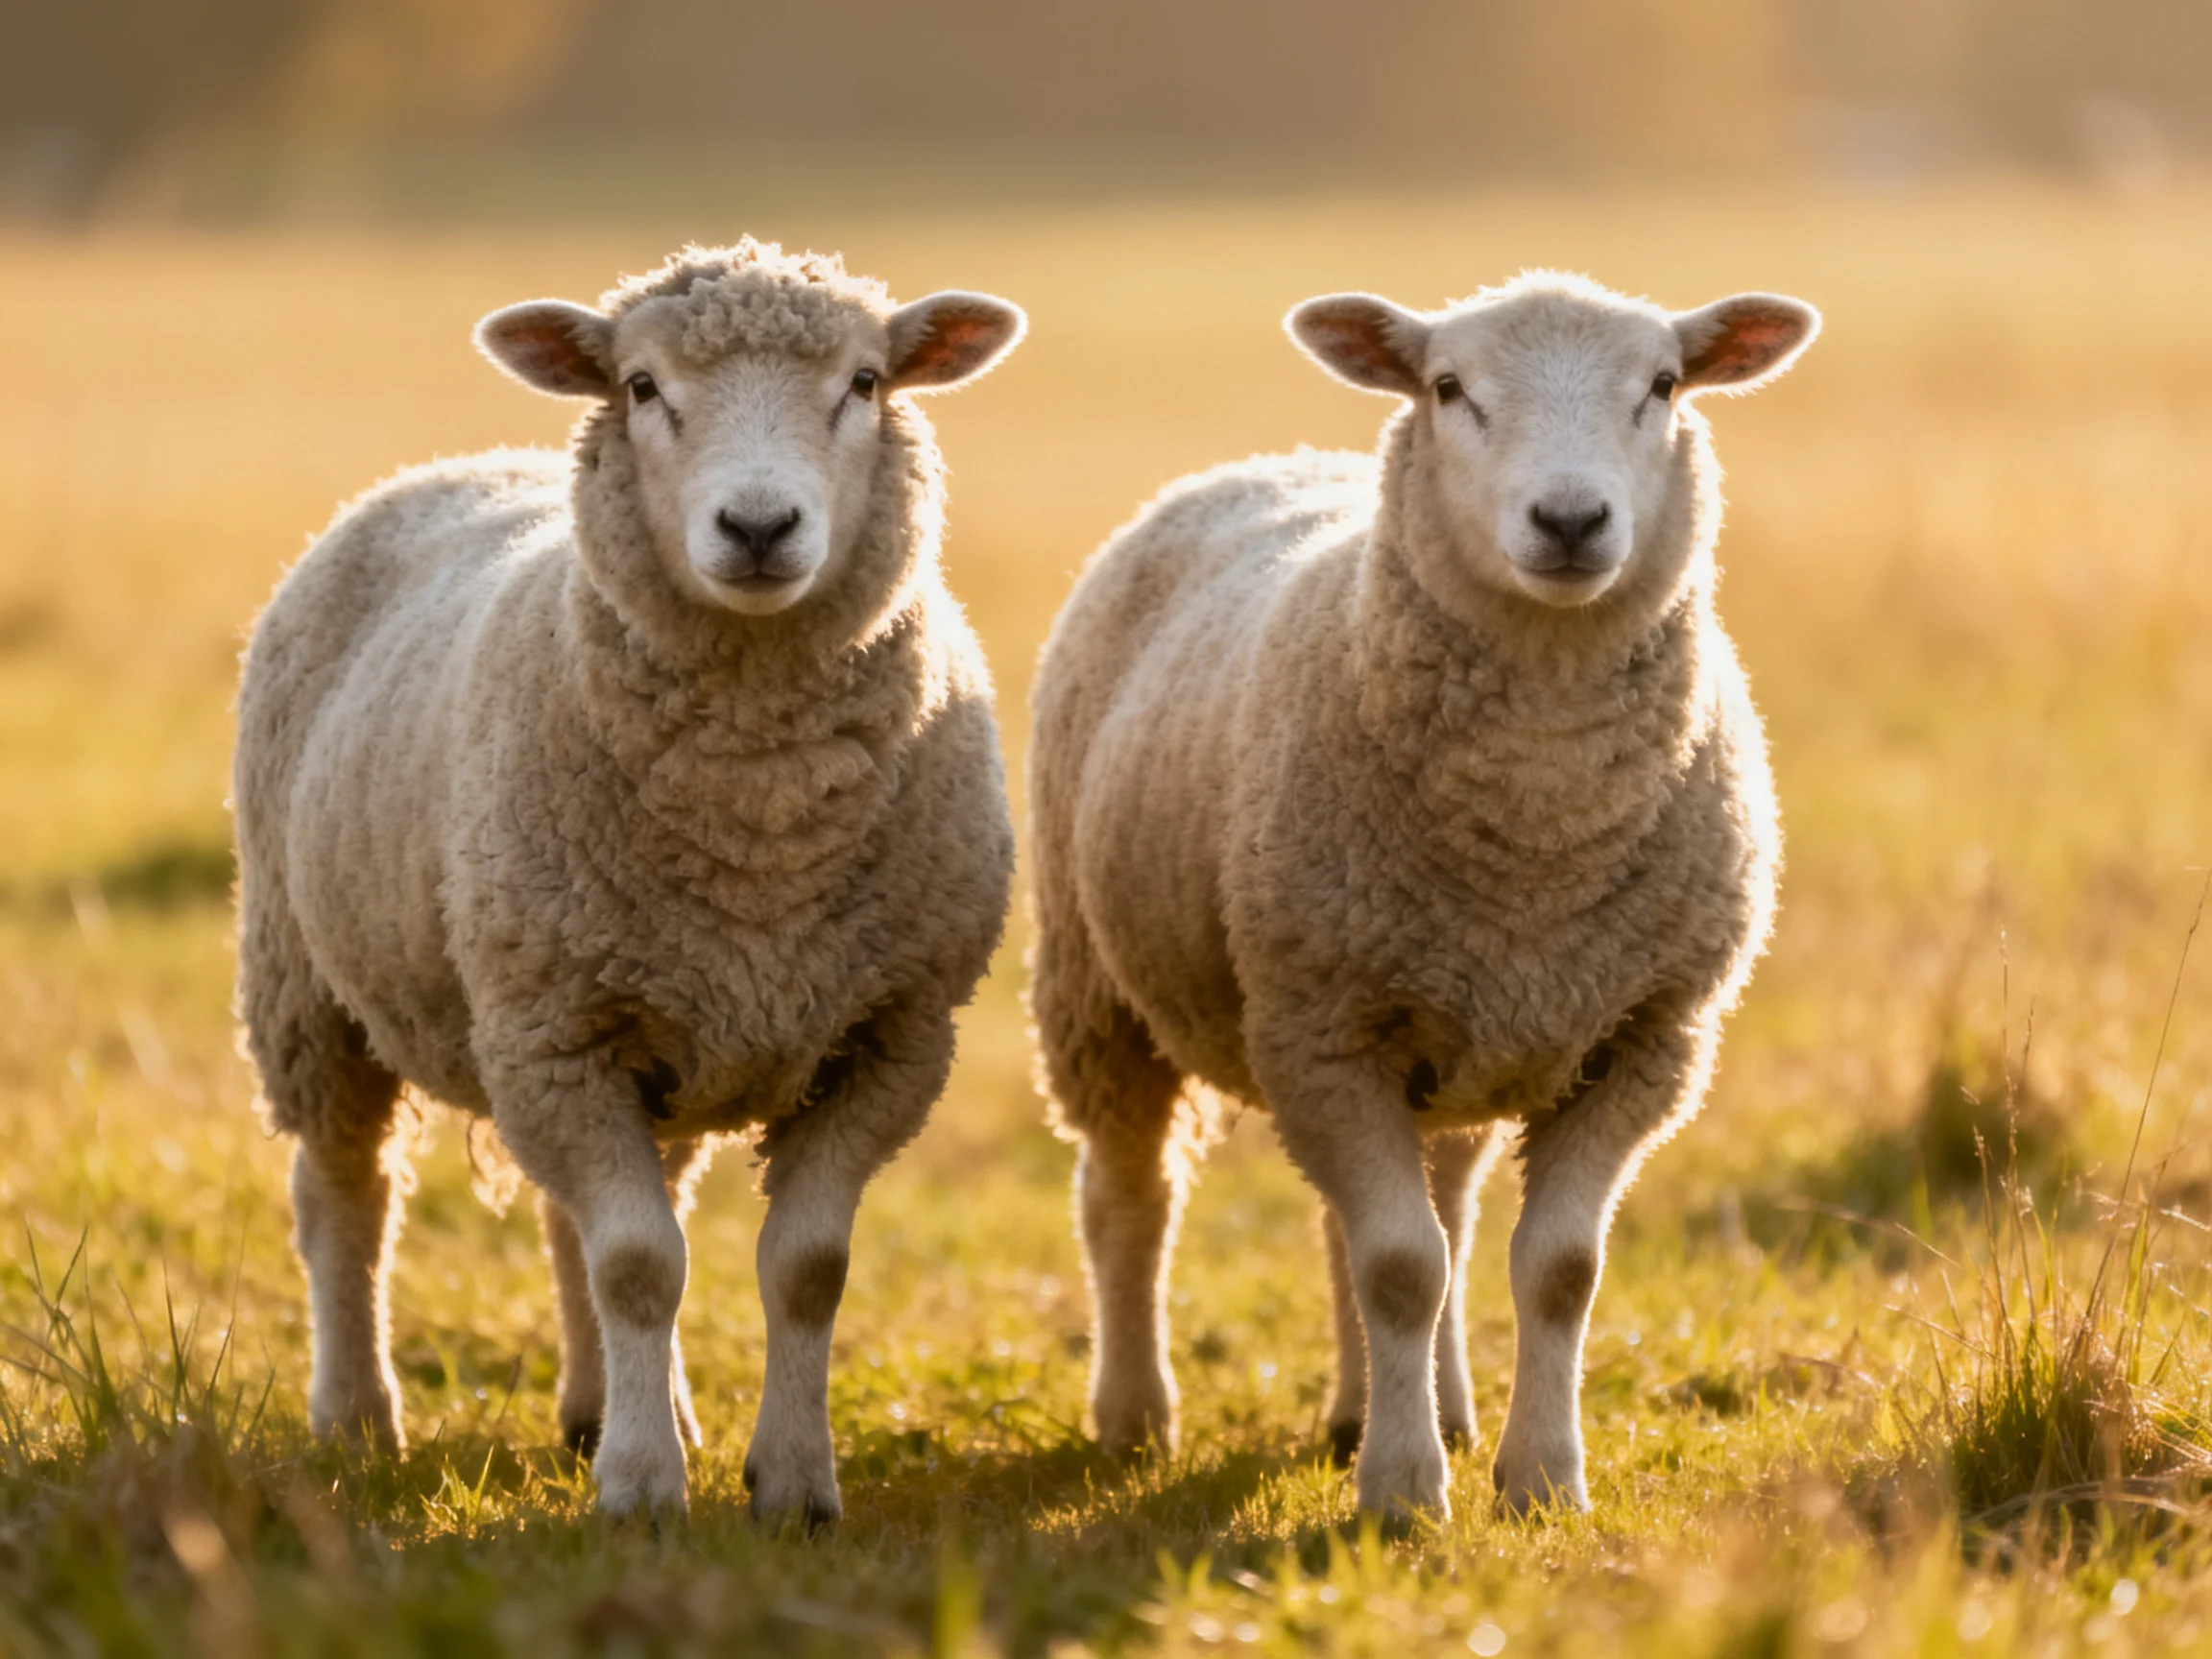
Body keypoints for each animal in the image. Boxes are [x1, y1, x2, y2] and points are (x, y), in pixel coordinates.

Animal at [232, 238, 1026, 1523]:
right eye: (643, 387)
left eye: (864, 382)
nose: (758, 524)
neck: (757, 815)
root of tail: (456, 464)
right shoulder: (555, 1030)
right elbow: (644, 1266)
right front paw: (644, 1491)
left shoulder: (890, 1036)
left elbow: (803, 1269)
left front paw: (790, 1483)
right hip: (311, 987)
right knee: (346, 1198)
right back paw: (357, 1415)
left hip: (637, 1029)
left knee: (575, 1217)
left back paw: (599, 1409)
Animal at [1028, 270, 1817, 1520]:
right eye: (1449, 388)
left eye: (1662, 385)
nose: (1570, 521)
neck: (1539, 829)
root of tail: (1274, 458)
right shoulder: (1324, 1024)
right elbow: (1401, 1269)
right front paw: (1403, 1495)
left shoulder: (1645, 1038)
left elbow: (1553, 1270)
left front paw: (1538, 1479)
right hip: (1098, 988)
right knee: (1130, 1198)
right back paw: (1137, 1414)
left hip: (1446, 1038)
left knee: (1407, 1208)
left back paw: (1404, 1406)